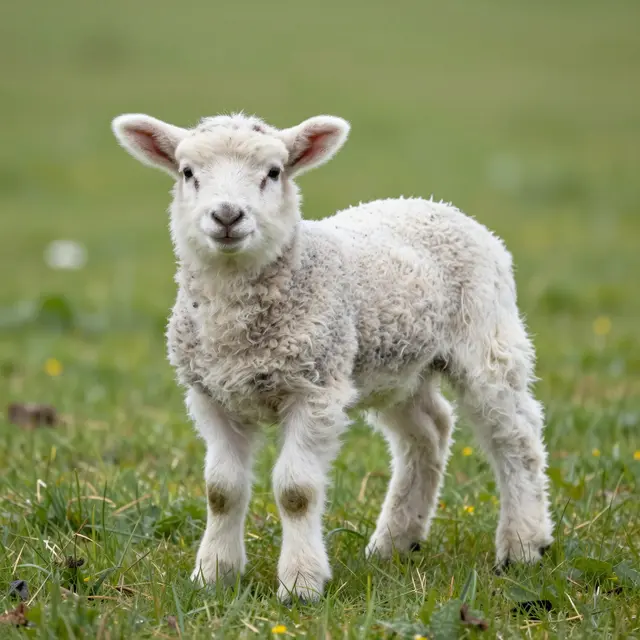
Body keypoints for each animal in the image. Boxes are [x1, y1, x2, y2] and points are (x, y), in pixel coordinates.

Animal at [111, 111, 554, 602]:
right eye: (188, 173)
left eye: (273, 172)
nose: (227, 215)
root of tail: (435, 204)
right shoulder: (211, 396)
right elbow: (221, 490)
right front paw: (214, 575)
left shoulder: (316, 389)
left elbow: (296, 491)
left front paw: (300, 583)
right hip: (396, 367)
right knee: (428, 431)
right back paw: (396, 539)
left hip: (487, 338)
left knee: (516, 435)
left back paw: (523, 544)